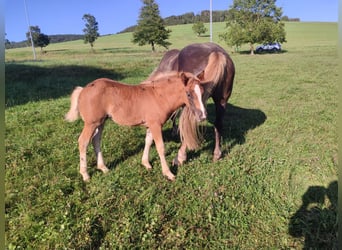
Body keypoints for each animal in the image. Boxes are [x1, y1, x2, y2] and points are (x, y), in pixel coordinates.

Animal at [65, 71, 207, 181]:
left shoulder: (150, 125)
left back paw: (103, 168)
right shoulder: (156, 125)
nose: (203, 115)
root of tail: (83, 90)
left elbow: (148, 141)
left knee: (96, 141)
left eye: (202, 92)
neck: (159, 96)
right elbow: (160, 147)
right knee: (83, 142)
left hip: (100, 122)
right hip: (91, 123)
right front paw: (168, 173)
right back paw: (85, 174)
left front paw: (146, 163)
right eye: (188, 94)